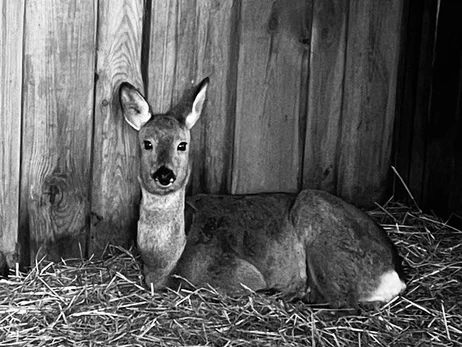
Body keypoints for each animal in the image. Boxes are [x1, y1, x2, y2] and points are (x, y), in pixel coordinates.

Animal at [119, 78, 404, 308]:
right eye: (147, 143)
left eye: (182, 144)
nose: (164, 174)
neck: (166, 262)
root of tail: (394, 275)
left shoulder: (235, 272)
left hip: (316, 217)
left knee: (343, 302)